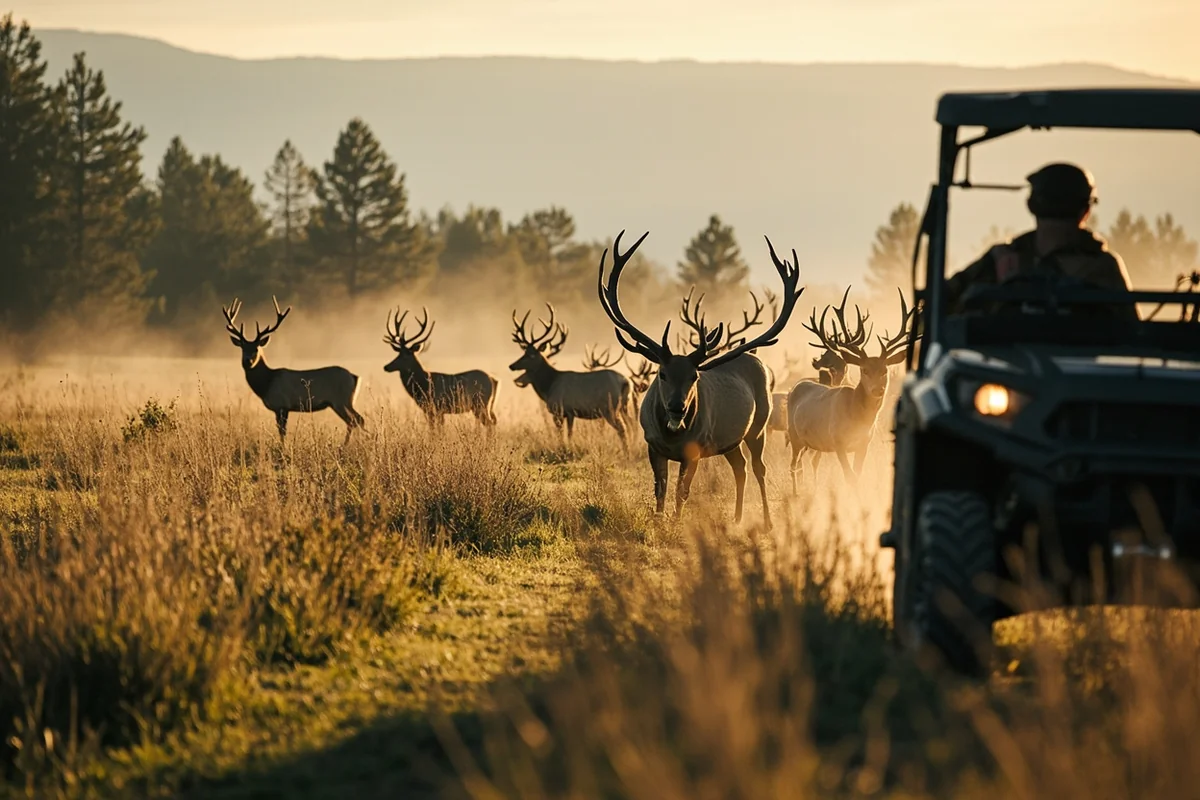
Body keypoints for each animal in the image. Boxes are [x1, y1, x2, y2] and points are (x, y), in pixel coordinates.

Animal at [222, 296, 365, 444]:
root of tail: (354, 377)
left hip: (341, 400)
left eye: (256, 349)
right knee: (356, 420)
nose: (247, 361)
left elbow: (282, 432)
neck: (267, 383)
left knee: (356, 420)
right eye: (242, 348)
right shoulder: (279, 408)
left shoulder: (282, 404)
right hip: (344, 401)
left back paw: (348, 444)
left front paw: (283, 447)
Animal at [509, 304, 633, 443]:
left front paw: (563, 446)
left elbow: (561, 435)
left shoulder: (559, 410)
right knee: (631, 424)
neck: (549, 386)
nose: (512, 365)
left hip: (610, 408)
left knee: (622, 428)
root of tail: (625, 382)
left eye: (530, 355)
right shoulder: (571, 413)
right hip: (624, 406)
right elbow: (570, 434)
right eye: (523, 353)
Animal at [598, 230, 804, 529]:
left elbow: (682, 491)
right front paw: (659, 521)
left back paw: (766, 521)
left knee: (758, 468)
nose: (677, 407)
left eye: (694, 376)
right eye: (661, 373)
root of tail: (758, 361)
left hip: (759, 425)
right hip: (730, 439)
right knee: (740, 467)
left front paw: (675, 524)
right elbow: (660, 488)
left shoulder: (693, 450)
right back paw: (737, 517)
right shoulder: (651, 444)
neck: (673, 435)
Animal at [786, 286, 914, 490]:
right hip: (793, 435)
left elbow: (857, 476)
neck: (858, 418)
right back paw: (796, 493)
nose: (877, 390)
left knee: (801, 465)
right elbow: (850, 477)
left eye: (884, 370)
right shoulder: (838, 441)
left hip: (807, 441)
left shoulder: (864, 443)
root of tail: (794, 387)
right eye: (864, 369)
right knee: (793, 465)